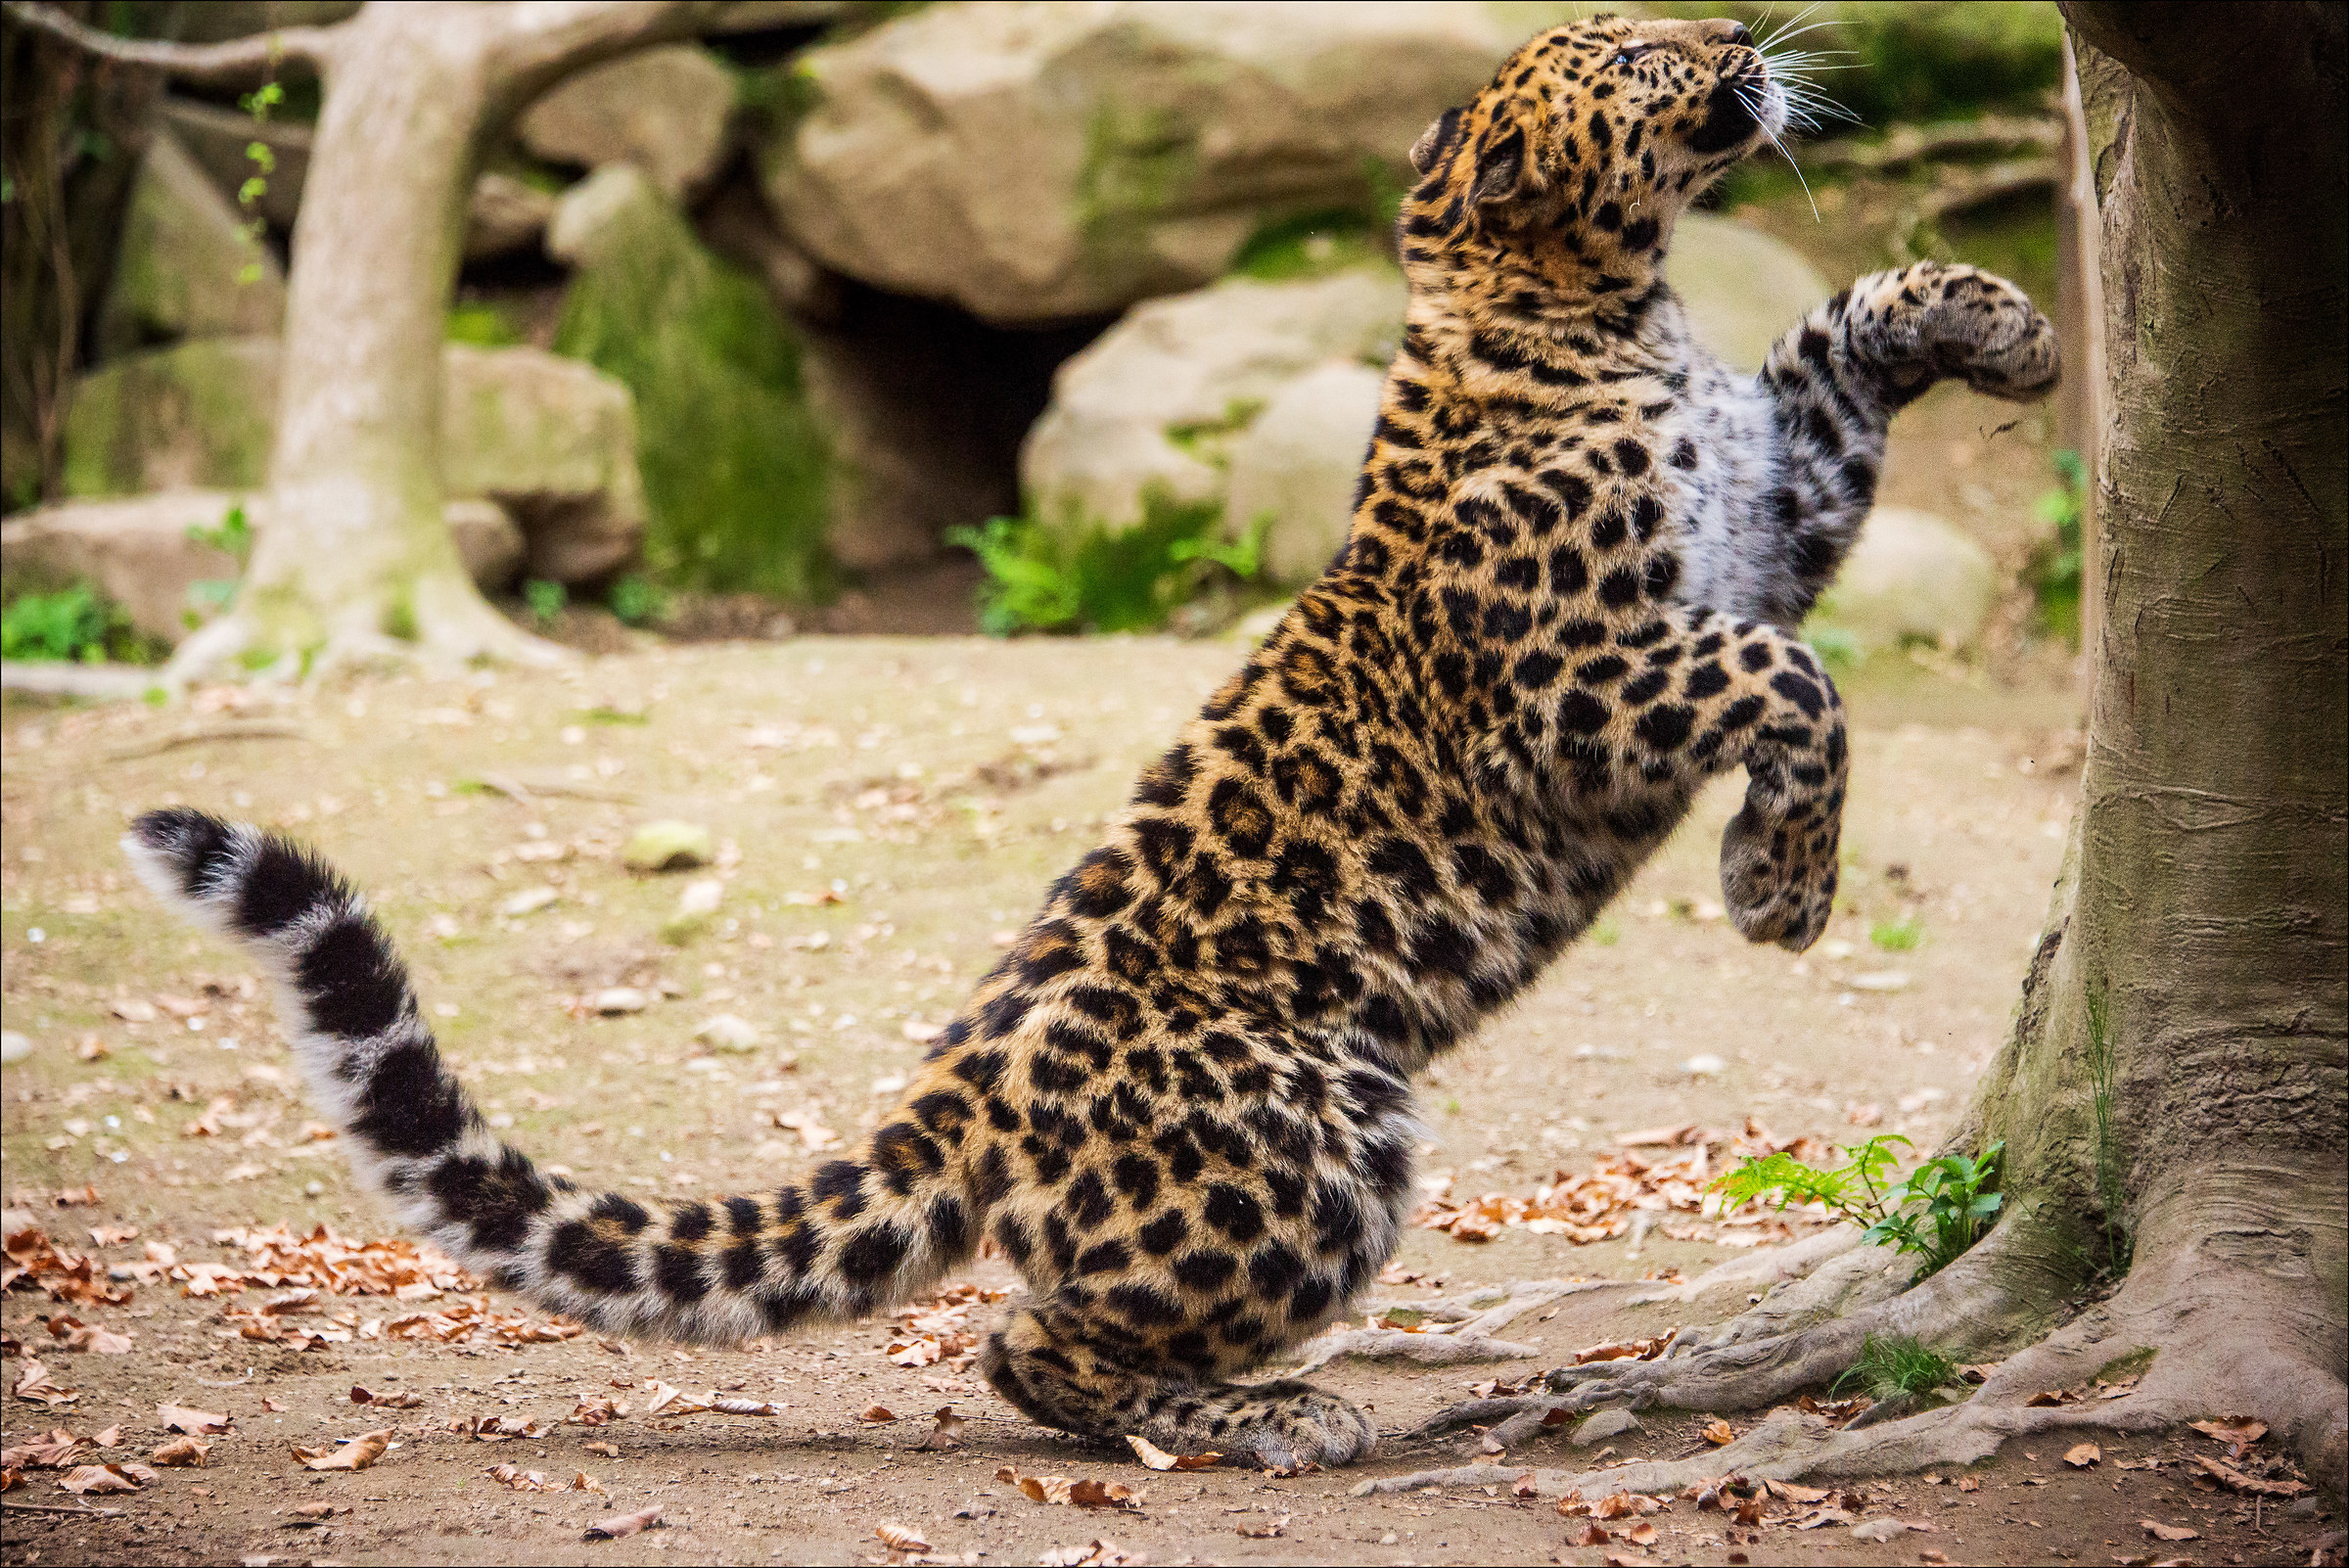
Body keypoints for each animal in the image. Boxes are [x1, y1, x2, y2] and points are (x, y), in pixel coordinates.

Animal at [123, 13, 2056, 1472]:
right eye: (1642, 53)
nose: (1738, 33)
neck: (1594, 304)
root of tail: (971, 1085)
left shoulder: (1772, 514)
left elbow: (1839, 346)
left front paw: (2004, 326)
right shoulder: (1576, 680)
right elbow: (1796, 683)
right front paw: (1776, 890)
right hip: (1317, 1134)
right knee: (1033, 1344)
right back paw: (1273, 1416)